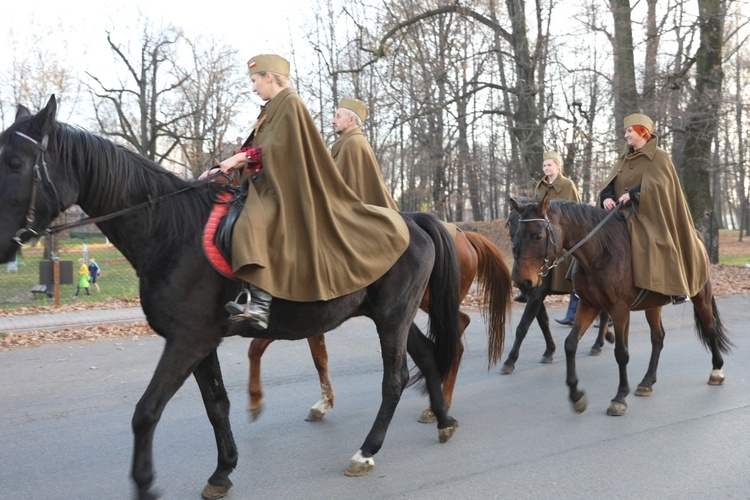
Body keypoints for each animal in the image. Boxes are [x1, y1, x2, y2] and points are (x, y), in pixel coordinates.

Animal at [0, 96, 464, 500]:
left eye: (15, 162)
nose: (4, 247)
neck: (170, 230)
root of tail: (413, 220)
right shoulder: (200, 342)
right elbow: (217, 405)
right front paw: (222, 472)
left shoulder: (187, 340)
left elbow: (146, 410)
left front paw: (146, 484)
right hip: (392, 315)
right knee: (426, 355)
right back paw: (443, 420)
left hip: (392, 316)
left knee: (395, 378)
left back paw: (366, 452)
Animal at [245, 229, 512, 424]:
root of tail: (464, 235)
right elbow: (318, 357)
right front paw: (323, 403)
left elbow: (256, 346)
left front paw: (255, 400)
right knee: (460, 325)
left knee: (455, 337)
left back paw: (438, 404)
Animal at [500, 208, 616, 376]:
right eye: (510, 221)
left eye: (538, 234)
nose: (516, 247)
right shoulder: (533, 294)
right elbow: (543, 322)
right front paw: (549, 350)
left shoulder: (536, 294)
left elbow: (523, 326)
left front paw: (510, 360)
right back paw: (606, 336)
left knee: (604, 314)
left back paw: (598, 343)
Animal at [512, 193, 736, 416]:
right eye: (516, 235)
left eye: (538, 235)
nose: (524, 282)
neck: (600, 252)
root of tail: (696, 235)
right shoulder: (588, 305)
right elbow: (570, 344)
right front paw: (576, 396)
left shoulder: (619, 309)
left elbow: (621, 353)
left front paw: (619, 398)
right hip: (653, 305)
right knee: (658, 337)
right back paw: (647, 381)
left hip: (701, 295)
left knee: (710, 327)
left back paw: (717, 371)